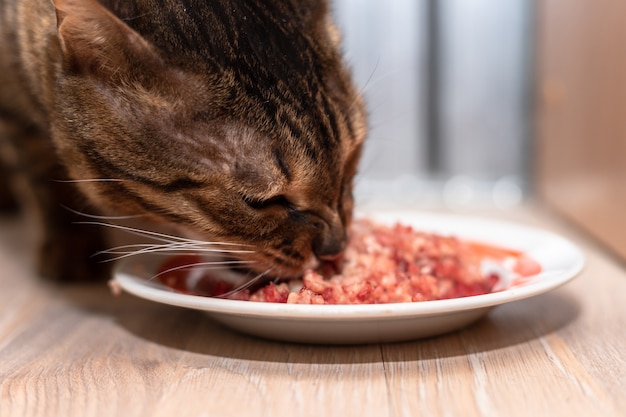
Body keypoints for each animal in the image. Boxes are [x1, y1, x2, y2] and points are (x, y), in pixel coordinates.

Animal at [0, 0, 366, 282]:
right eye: (260, 202)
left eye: (351, 160)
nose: (336, 247)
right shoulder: (16, 111)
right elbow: (47, 181)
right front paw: (71, 246)